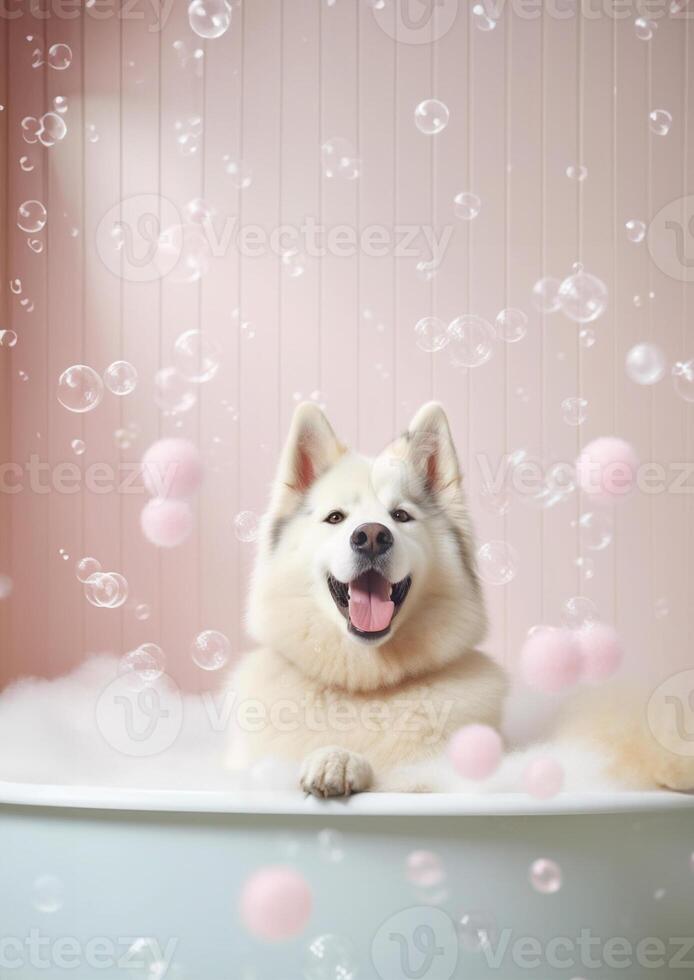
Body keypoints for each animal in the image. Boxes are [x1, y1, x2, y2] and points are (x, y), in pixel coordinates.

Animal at [230, 400, 694, 796]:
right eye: (335, 518)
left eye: (400, 516)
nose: (372, 536)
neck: (369, 688)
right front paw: (333, 758)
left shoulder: (446, 770)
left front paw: (343, 759)